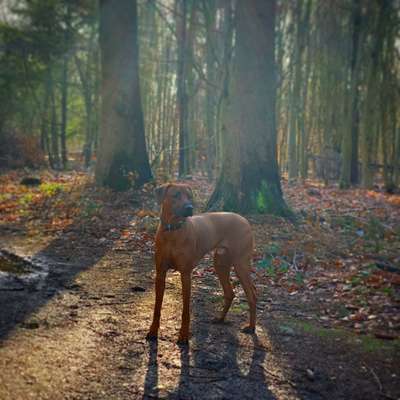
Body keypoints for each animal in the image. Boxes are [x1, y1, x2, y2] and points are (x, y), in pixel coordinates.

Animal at [146, 183, 256, 342]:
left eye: (189, 196)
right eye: (176, 195)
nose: (189, 208)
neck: (173, 231)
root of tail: (244, 219)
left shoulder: (186, 274)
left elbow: (186, 310)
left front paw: (184, 335)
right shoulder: (160, 273)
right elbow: (157, 307)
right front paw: (153, 331)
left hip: (241, 264)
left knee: (252, 294)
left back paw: (251, 327)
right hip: (220, 263)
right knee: (230, 292)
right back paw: (220, 319)